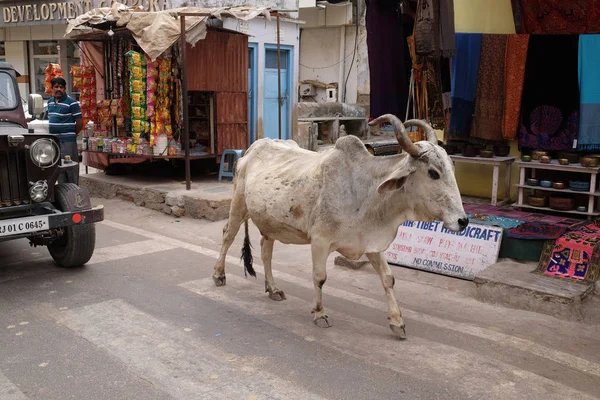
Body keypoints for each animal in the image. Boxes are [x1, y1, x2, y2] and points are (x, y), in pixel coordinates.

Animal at [212, 114, 468, 340]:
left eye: (452, 169)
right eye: (433, 173)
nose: (463, 221)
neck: (365, 191)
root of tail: (254, 147)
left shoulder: (370, 242)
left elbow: (388, 278)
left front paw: (397, 322)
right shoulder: (320, 241)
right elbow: (319, 277)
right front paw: (319, 313)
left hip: (270, 221)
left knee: (266, 250)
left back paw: (273, 289)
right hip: (238, 206)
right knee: (227, 236)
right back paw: (219, 275)